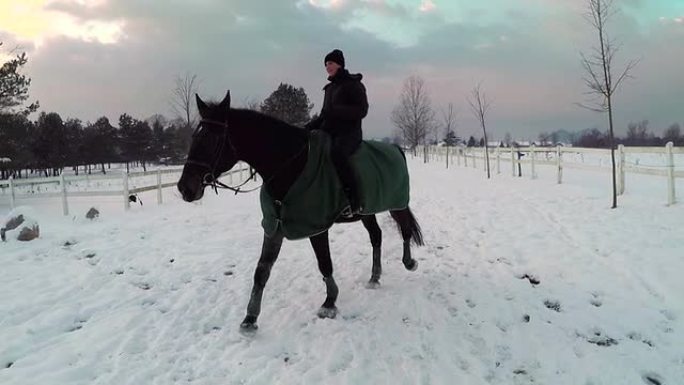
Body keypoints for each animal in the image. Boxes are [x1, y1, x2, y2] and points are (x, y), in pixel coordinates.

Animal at [176, 91, 422, 330]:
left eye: (212, 139)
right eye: (194, 137)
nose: (184, 188)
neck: (291, 164)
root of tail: (396, 149)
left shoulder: (316, 227)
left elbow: (324, 263)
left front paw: (329, 303)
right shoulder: (274, 227)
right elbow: (261, 270)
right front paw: (250, 318)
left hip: (397, 203)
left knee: (405, 229)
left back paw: (409, 263)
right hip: (366, 211)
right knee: (376, 236)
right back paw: (374, 277)